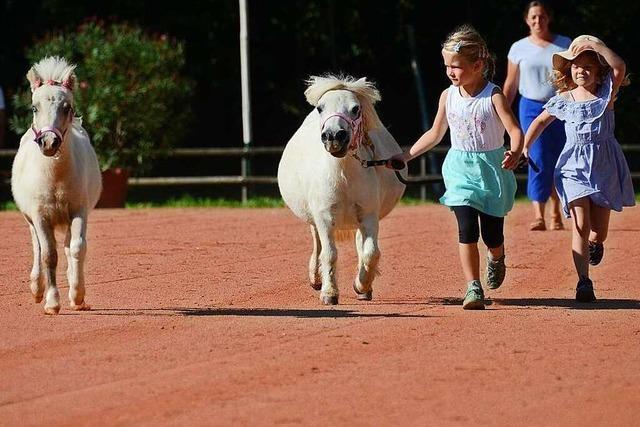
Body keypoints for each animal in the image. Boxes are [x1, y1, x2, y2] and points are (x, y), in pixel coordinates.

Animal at [10, 56, 101, 314]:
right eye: (34, 107)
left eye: (67, 108)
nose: (49, 142)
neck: (55, 177)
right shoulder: (40, 215)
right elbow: (49, 254)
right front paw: (51, 301)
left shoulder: (78, 211)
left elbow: (77, 248)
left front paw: (78, 295)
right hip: (31, 220)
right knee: (38, 247)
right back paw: (36, 288)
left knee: (70, 246)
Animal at [276, 76, 404, 304]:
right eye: (320, 107)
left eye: (355, 109)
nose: (334, 135)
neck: (343, 174)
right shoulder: (324, 217)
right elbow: (329, 253)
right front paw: (329, 293)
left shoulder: (369, 216)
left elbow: (371, 253)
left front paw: (361, 285)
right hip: (314, 220)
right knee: (318, 244)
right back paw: (316, 278)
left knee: (361, 244)